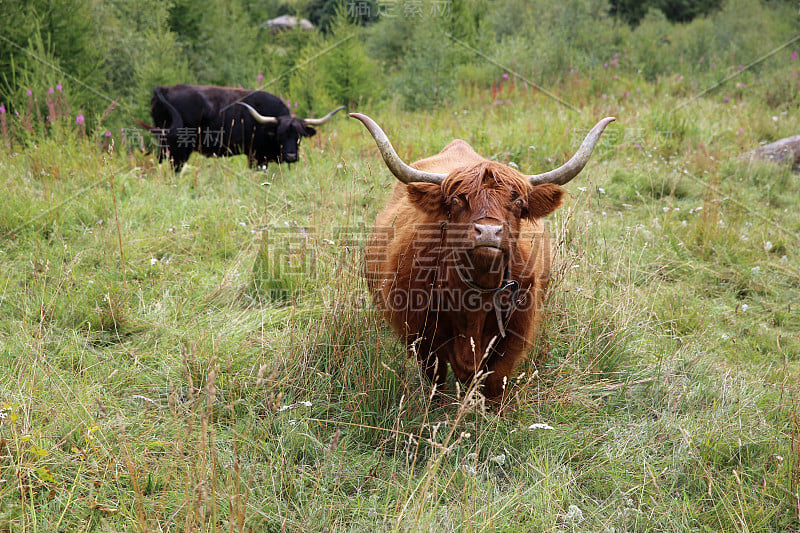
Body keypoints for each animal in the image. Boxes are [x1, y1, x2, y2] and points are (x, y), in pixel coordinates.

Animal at [140, 84, 344, 170]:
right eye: (280, 135)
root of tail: (166, 88)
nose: (291, 156)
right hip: (178, 148)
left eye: (299, 136)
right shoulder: (256, 156)